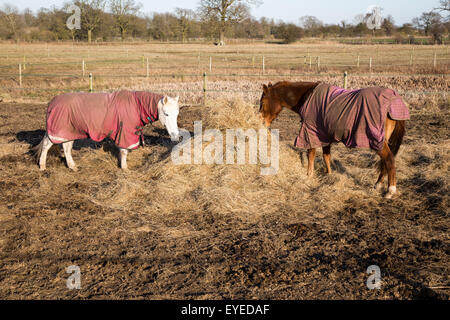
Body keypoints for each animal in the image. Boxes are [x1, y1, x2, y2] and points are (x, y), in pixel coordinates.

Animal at [34, 93, 181, 170]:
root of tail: (52, 102)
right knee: (47, 145)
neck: (136, 106)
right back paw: (42, 166)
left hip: (69, 131)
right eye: (166, 114)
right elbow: (124, 151)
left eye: (177, 114)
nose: (176, 136)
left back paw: (72, 166)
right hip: (57, 131)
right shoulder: (124, 132)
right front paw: (124, 168)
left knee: (66, 147)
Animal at [258, 81, 410, 199]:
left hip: (377, 140)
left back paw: (390, 191)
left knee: (389, 159)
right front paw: (329, 175)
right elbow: (326, 156)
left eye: (262, 102)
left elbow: (311, 155)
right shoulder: (324, 135)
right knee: (385, 162)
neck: (308, 97)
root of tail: (394, 100)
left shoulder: (311, 132)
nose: (262, 123)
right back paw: (378, 184)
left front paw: (309, 175)